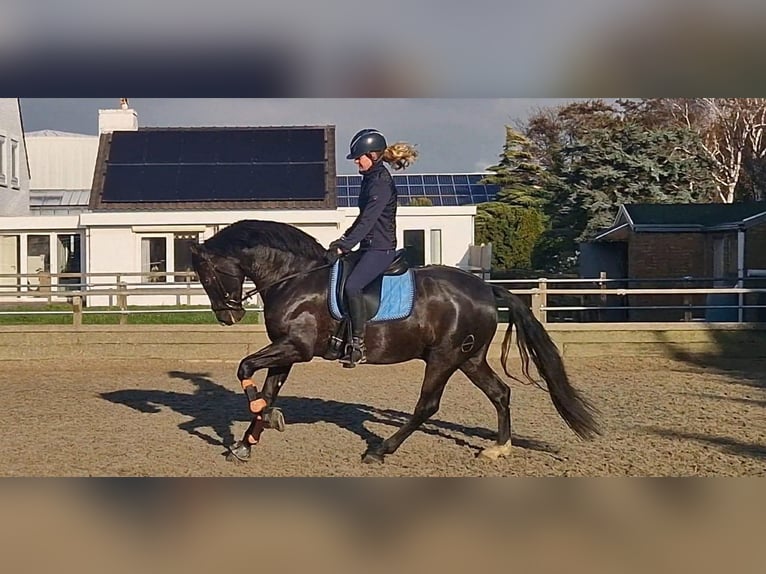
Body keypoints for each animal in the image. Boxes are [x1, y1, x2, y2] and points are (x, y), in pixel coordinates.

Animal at [190, 219, 600, 464]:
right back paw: (500, 447)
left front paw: (259, 423)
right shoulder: (287, 351)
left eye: (206, 275)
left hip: (443, 358)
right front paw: (249, 439)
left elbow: (245, 368)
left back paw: (381, 450)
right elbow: (268, 390)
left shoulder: (297, 348)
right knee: (500, 393)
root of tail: (485, 288)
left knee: (427, 406)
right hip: (469, 358)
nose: (228, 316)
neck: (295, 277)